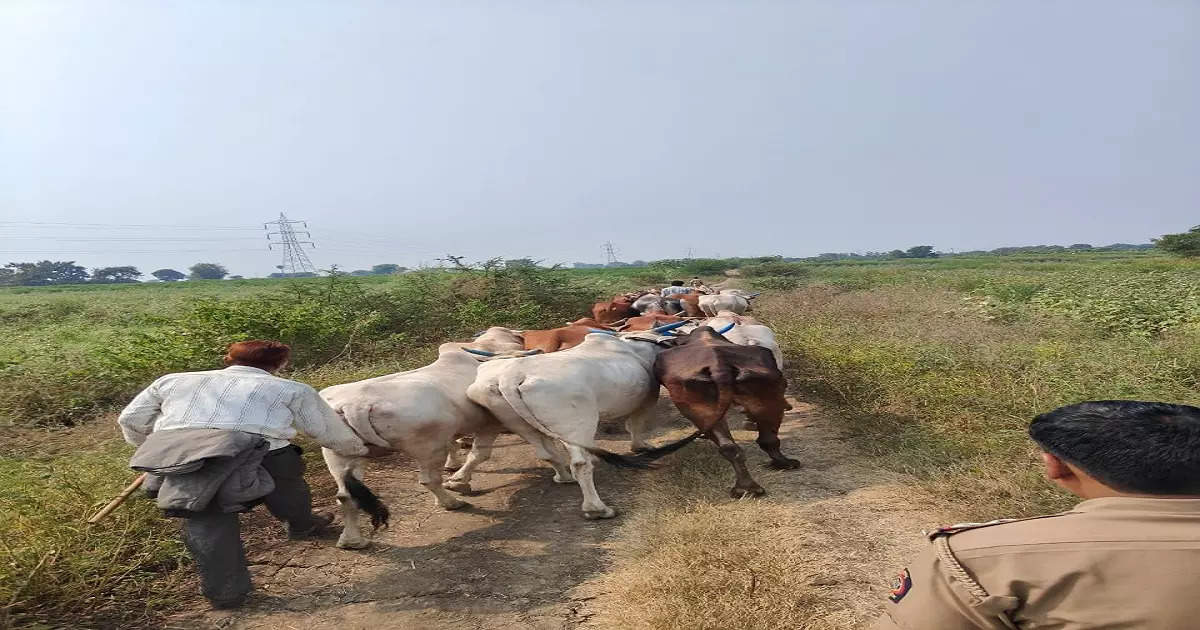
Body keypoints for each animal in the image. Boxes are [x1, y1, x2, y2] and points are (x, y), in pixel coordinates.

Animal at [321, 336, 528, 547]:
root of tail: (356, 406)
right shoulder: (490, 424)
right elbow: (479, 455)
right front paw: (459, 481)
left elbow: (456, 446)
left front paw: (454, 467)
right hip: (430, 448)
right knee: (429, 480)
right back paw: (450, 502)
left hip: (338, 454)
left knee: (345, 497)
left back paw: (352, 541)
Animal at [468, 326, 696, 518]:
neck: (636, 347)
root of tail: (511, 377)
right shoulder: (649, 397)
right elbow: (635, 425)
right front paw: (641, 446)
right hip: (576, 424)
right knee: (580, 463)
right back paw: (598, 509)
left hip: (516, 421)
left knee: (546, 452)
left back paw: (564, 477)